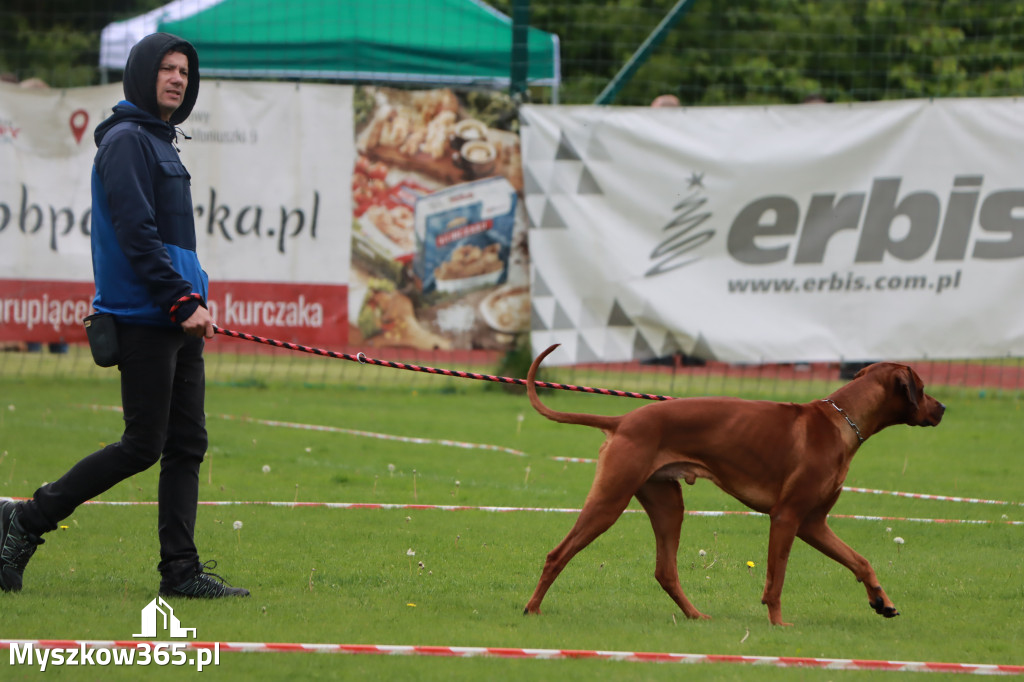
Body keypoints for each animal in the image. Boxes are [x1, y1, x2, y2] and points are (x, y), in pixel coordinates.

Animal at [528, 342, 942, 622]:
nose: (942, 408)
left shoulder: (813, 524)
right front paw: (778, 625)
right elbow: (776, 580)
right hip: (609, 502)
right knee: (557, 554)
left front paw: (881, 601)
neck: (842, 420)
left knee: (665, 571)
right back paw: (532, 608)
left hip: (667, 506)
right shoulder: (787, 518)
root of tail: (623, 420)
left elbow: (861, 561)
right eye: (922, 388)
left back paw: (696, 616)